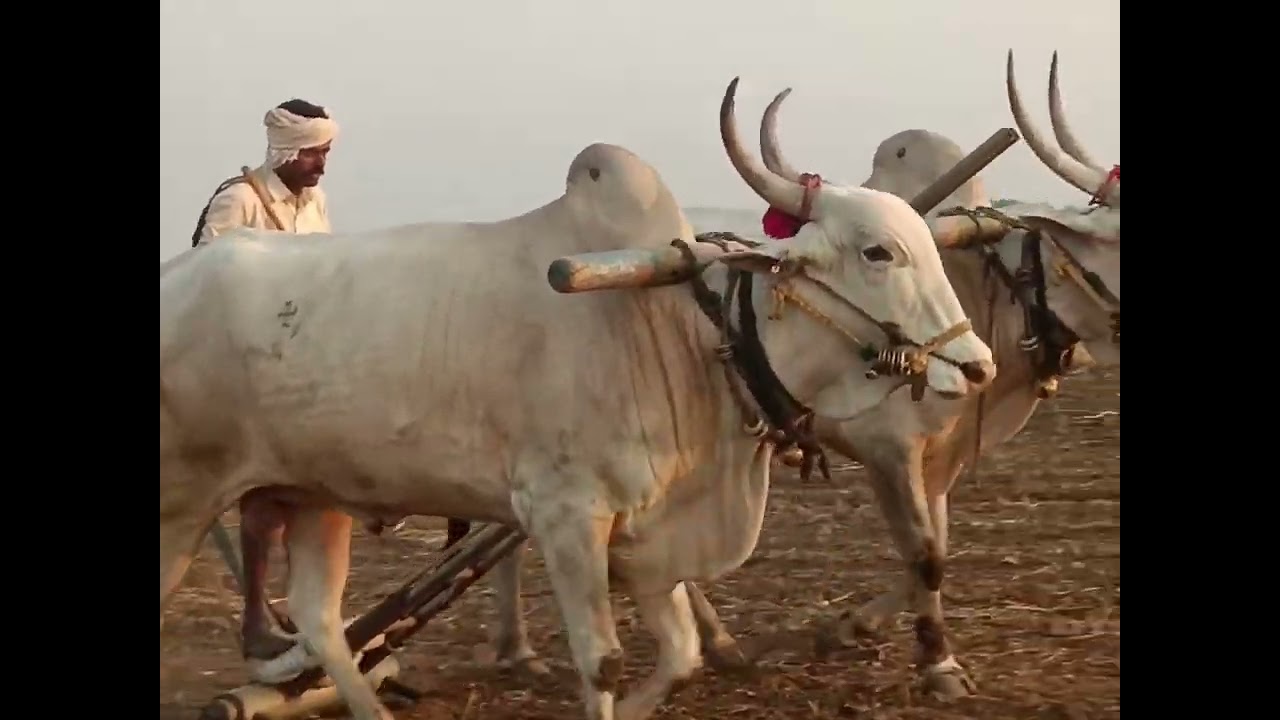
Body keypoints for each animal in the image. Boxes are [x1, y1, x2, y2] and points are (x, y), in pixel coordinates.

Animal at [159, 76, 996, 720]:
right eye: (878, 251)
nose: (977, 365)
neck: (680, 330)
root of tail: (176, 276)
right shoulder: (567, 521)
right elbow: (603, 663)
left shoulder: (649, 536)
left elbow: (682, 655)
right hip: (183, 507)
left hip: (314, 497)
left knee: (321, 623)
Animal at [464, 51, 1119, 700]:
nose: (975, 365)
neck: (983, 291)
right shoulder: (889, 449)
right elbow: (925, 555)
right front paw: (936, 661)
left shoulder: (940, 460)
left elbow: (933, 554)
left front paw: (856, 627)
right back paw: (522, 649)